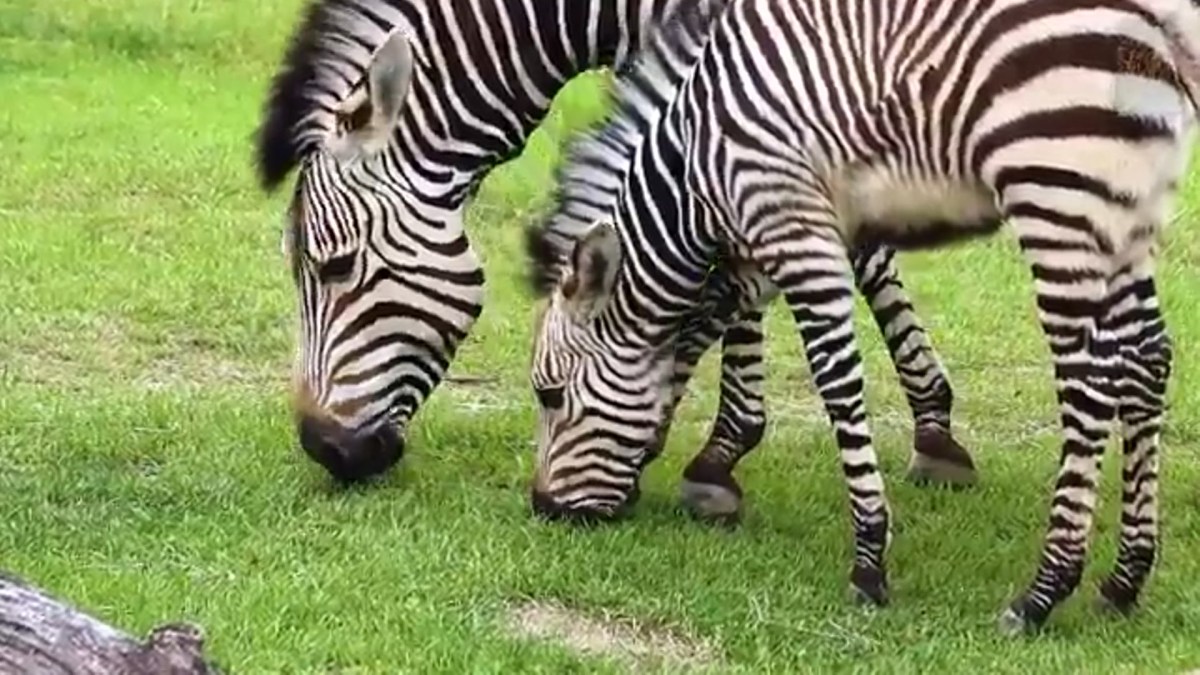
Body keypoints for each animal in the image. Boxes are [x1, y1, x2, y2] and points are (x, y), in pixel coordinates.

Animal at [530, 0, 1185, 629]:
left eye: (550, 395)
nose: (543, 509)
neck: (692, 161)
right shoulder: (776, 236)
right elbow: (698, 323)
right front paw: (671, 449)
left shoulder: (790, 223)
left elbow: (834, 379)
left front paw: (869, 561)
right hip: (1123, 213)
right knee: (1147, 356)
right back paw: (1125, 579)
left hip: (1058, 196)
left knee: (1090, 379)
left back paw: (1043, 593)